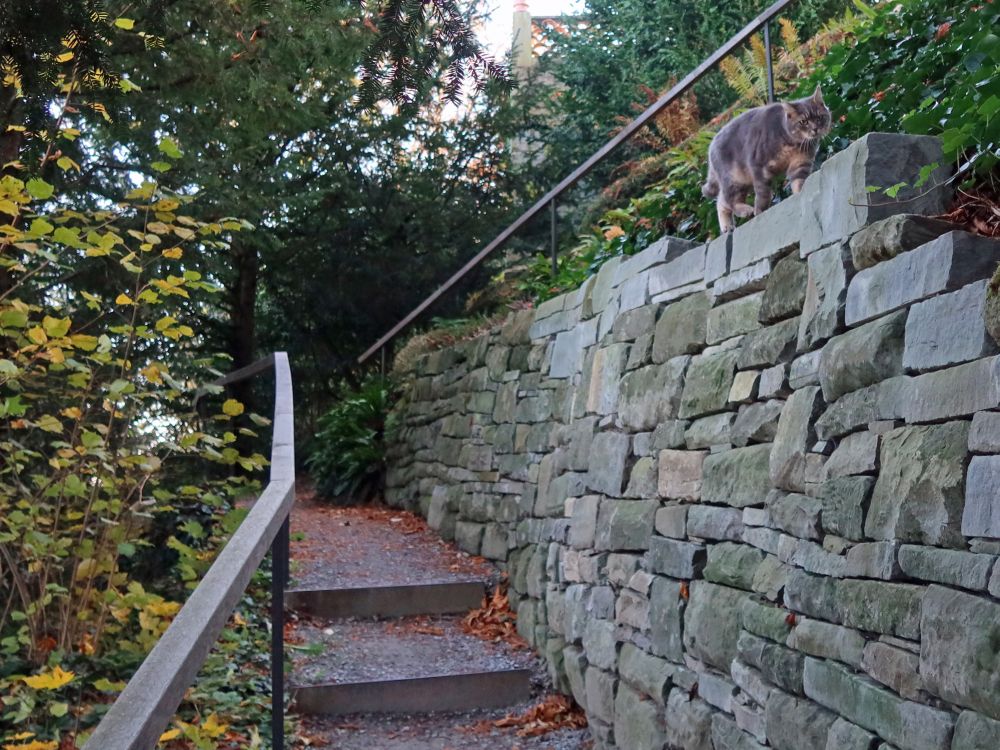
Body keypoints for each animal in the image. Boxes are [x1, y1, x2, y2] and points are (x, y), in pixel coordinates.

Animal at [704, 86, 836, 232]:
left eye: (819, 118)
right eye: (804, 122)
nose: (815, 129)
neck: (793, 144)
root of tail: (711, 144)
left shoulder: (801, 163)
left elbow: (799, 182)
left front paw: (800, 194)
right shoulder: (758, 166)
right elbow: (763, 193)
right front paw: (760, 211)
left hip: (742, 181)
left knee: (721, 201)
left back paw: (727, 226)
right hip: (735, 179)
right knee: (730, 200)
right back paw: (746, 210)